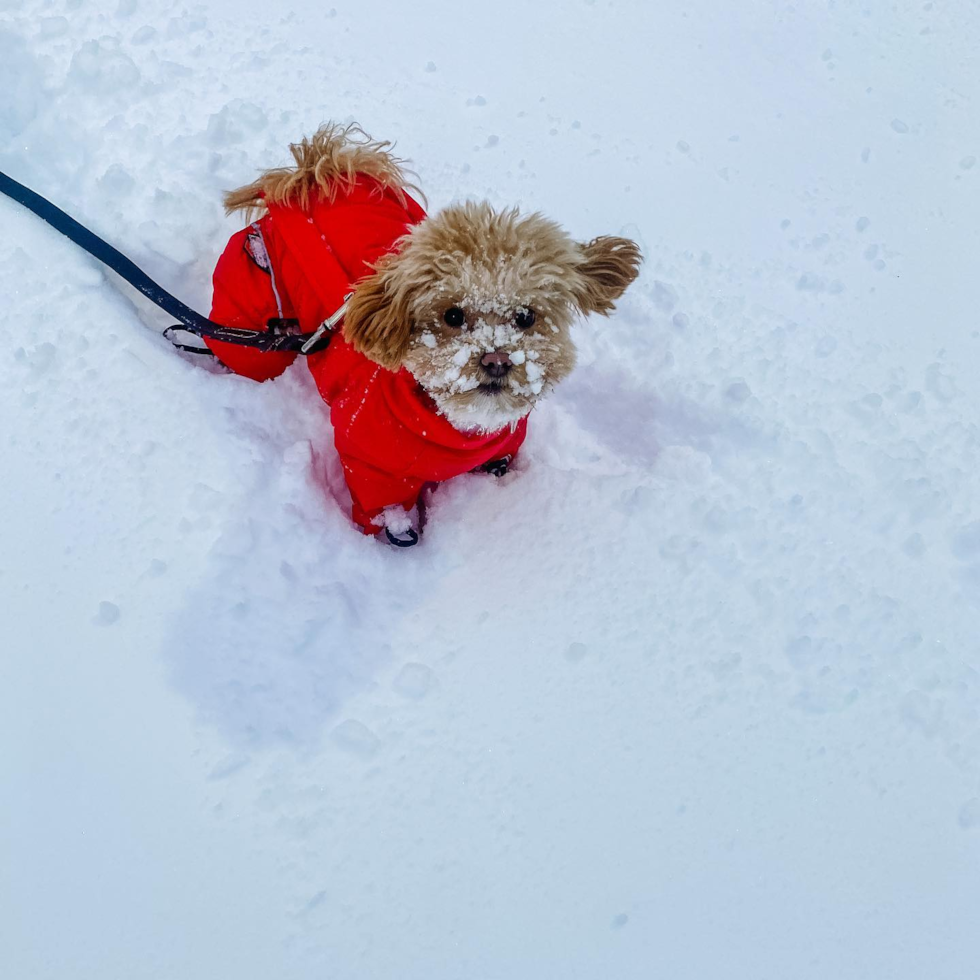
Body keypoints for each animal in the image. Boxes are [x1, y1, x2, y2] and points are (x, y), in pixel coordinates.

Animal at [209, 122, 644, 544]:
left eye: (525, 316)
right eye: (452, 315)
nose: (497, 360)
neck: (454, 428)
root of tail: (315, 172)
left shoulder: (500, 453)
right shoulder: (372, 465)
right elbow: (391, 519)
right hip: (252, 308)